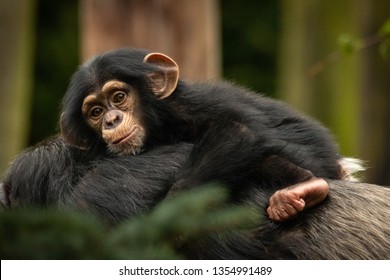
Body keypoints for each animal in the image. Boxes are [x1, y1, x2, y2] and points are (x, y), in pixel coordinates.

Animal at [61, 47, 360, 221]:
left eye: (119, 97)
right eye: (96, 111)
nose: (111, 119)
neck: (161, 122)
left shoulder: (192, 107)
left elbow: (238, 131)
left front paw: (169, 217)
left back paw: (305, 185)